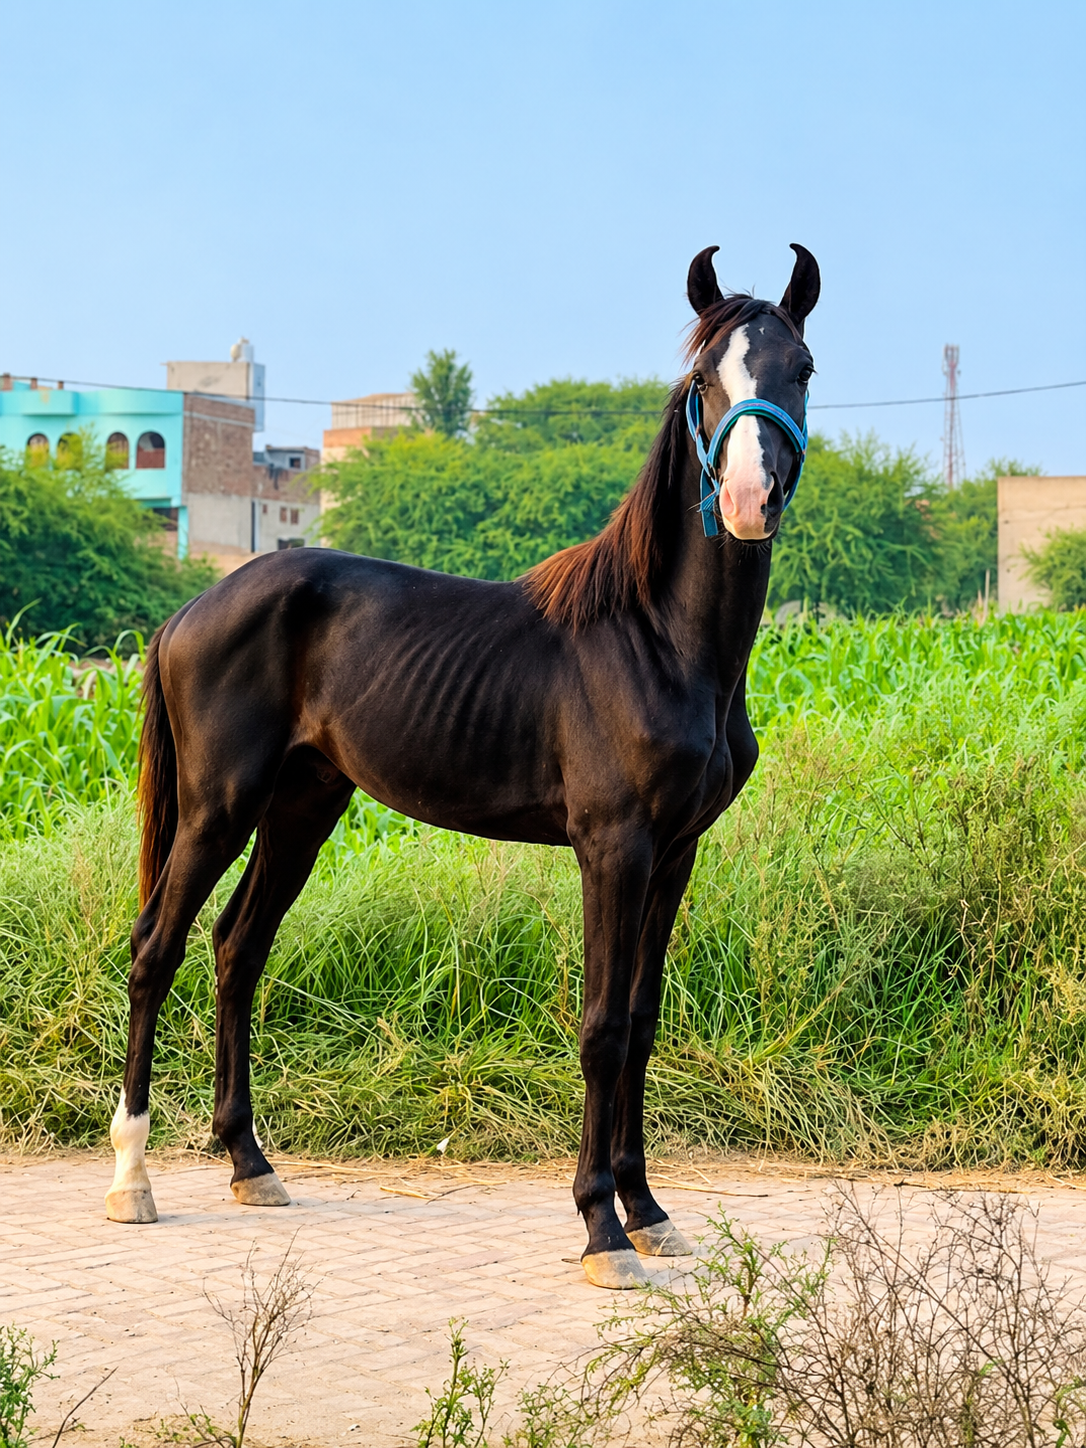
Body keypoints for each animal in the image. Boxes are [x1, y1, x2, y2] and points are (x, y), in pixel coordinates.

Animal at [106, 243, 819, 1289]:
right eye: (702, 381)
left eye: (799, 368)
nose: (745, 501)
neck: (660, 641)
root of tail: (191, 610)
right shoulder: (613, 850)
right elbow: (603, 1028)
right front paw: (602, 1230)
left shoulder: (676, 855)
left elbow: (644, 1022)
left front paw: (648, 1211)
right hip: (216, 807)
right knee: (156, 949)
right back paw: (132, 1181)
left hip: (301, 808)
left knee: (238, 947)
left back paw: (251, 1164)